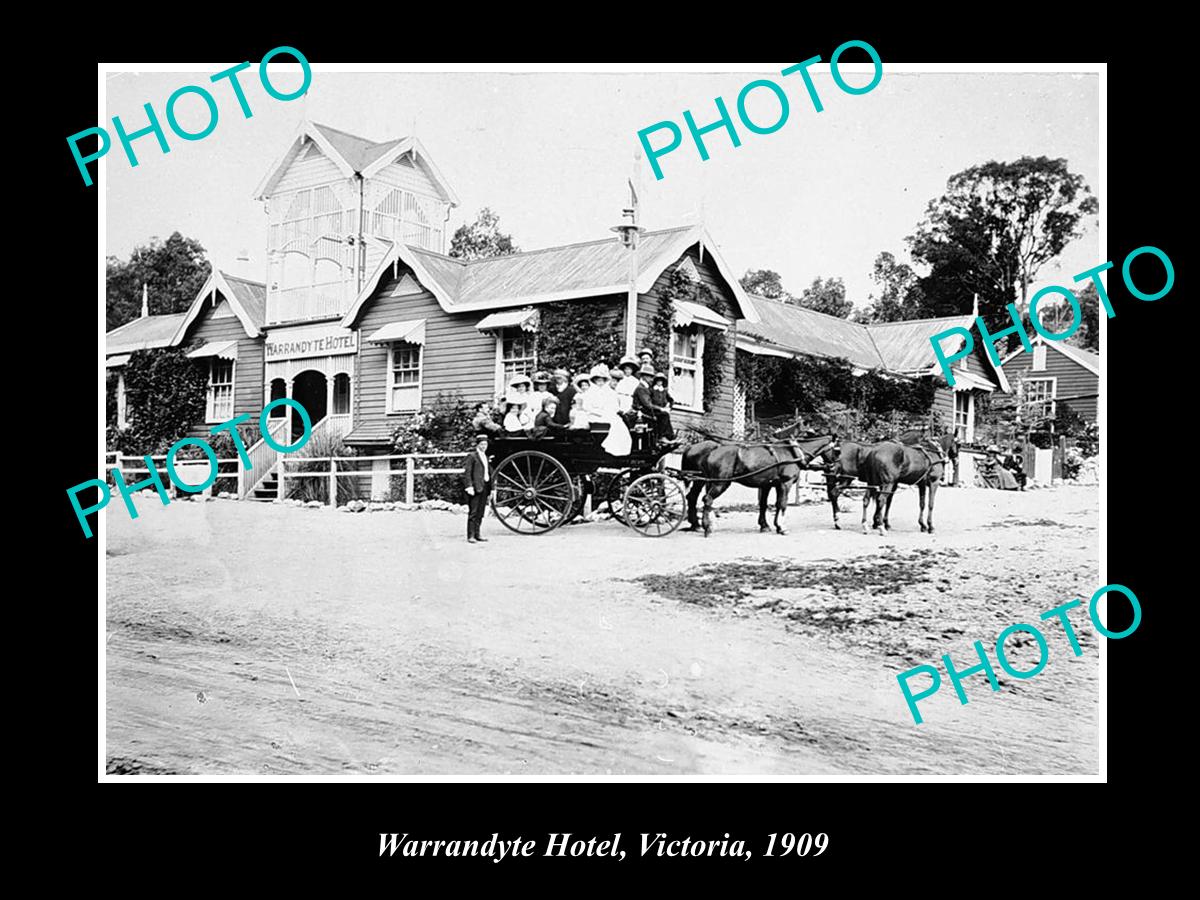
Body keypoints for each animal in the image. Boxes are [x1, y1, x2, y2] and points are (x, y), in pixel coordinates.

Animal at [686, 434, 835, 535]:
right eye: (837, 450)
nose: (833, 467)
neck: (793, 452)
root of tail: (711, 452)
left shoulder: (769, 485)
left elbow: (767, 504)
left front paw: (768, 525)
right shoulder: (785, 484)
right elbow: (782, 504)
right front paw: (782, 528)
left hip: (706, 481)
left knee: (695, 498)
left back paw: (698, 524)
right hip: (719, 483)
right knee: (707, 499)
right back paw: (706, 527)